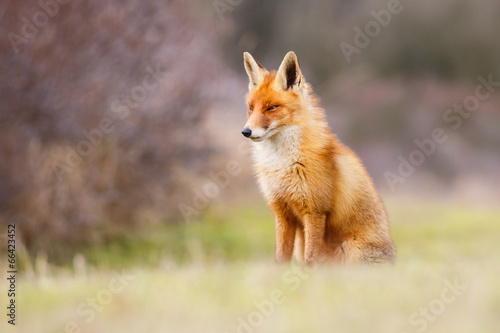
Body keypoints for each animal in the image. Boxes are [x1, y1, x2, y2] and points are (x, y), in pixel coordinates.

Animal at [242, 50, 394, 264]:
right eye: (251, 108)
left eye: (272, 108)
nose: (246, 131)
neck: (282, 164)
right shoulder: (281, 211)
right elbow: (280, 258)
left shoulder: (314, 210)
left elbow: (310, 259)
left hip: (350, 248)